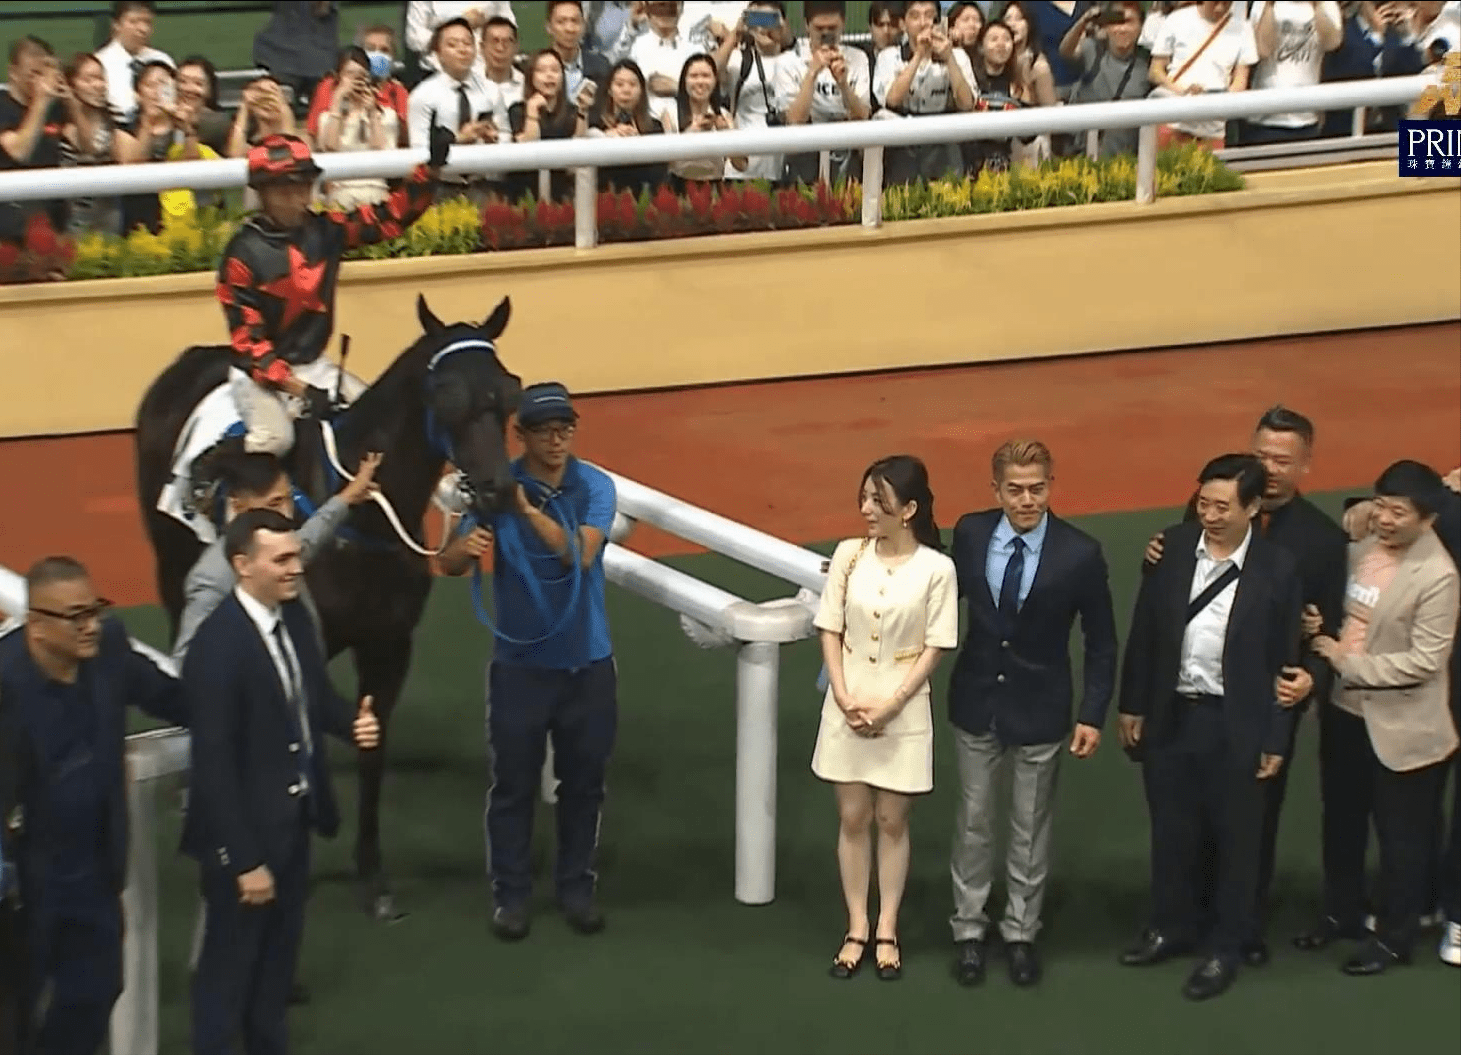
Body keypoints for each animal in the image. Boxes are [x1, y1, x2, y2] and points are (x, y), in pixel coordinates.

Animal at [134, 294, 523, 922]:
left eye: (508, 391)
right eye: (445, 394)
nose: (496, 491)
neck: (359, 524)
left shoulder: (389, 645)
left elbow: (371, 749)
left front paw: (372, 876)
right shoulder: (299, 638)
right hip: (170, 563)